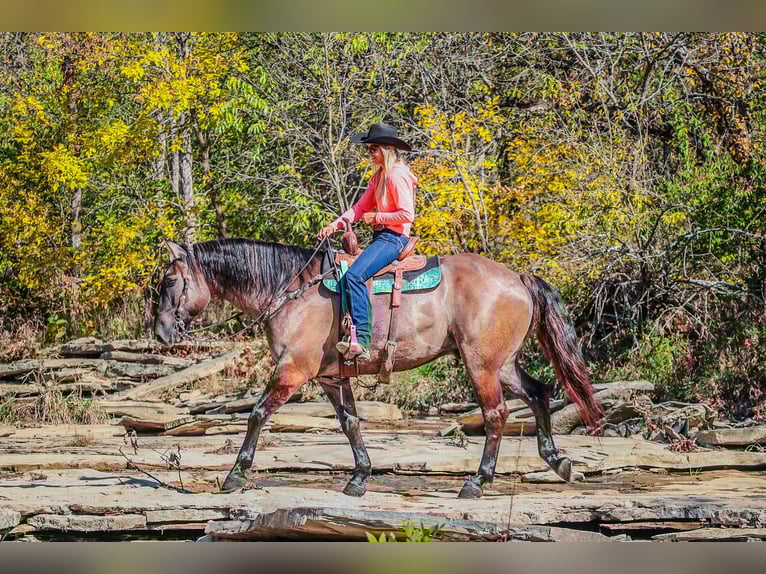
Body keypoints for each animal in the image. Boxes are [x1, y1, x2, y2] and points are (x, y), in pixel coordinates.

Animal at [154, 237, 602, 499]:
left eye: (170, 283)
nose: (160, 333)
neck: (289, 289)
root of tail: (518, 278)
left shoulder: (293, 370)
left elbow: (258, 413)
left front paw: (235, 475)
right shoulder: (331, 377)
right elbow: (350, 423)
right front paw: (359, 477)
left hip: (482, 365)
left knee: (496, 414)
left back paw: (477, 481)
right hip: (503, 364)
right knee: (539, 394)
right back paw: (558, 461)